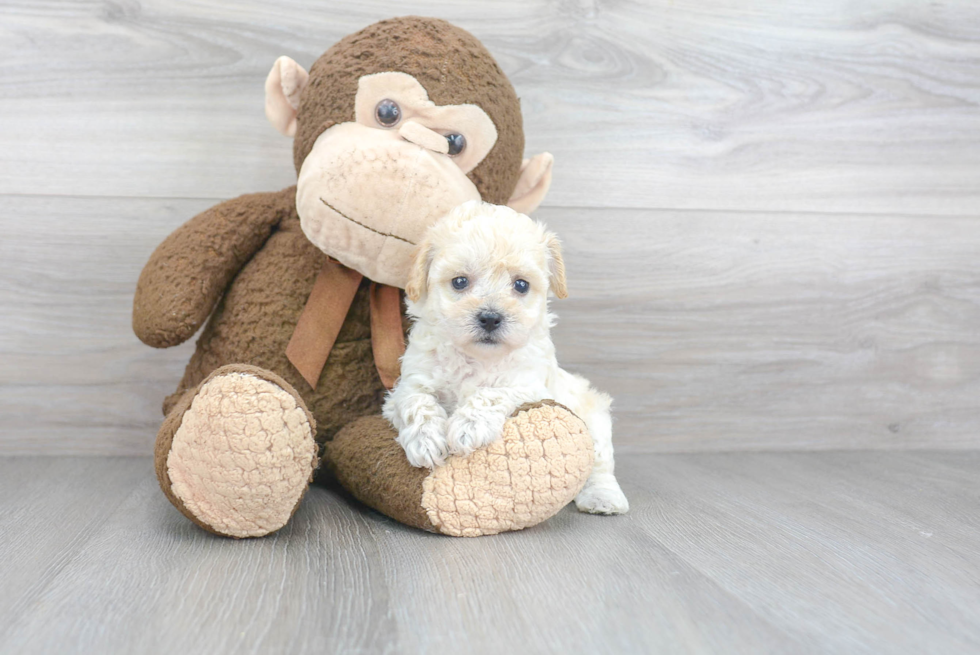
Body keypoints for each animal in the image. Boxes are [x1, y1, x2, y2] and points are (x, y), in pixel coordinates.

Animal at [382, 201, 628, 516]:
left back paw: (603, 498)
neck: (475, 358)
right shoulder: (407, 386)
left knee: (600, 462)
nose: (490, 317)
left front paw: (467, 426)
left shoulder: (529, 385)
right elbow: (416, 402)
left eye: (521, 285)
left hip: (593, 417)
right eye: (459, 282)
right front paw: (425, 439)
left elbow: (492, 393)